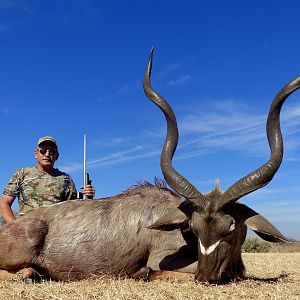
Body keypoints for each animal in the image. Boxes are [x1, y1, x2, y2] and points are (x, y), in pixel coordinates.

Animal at [0, 51, 298, 284]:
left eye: (231, 228)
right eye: (194, 228)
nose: (206, 277)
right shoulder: (161, 259)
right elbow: (157, 271)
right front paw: (144, 273)